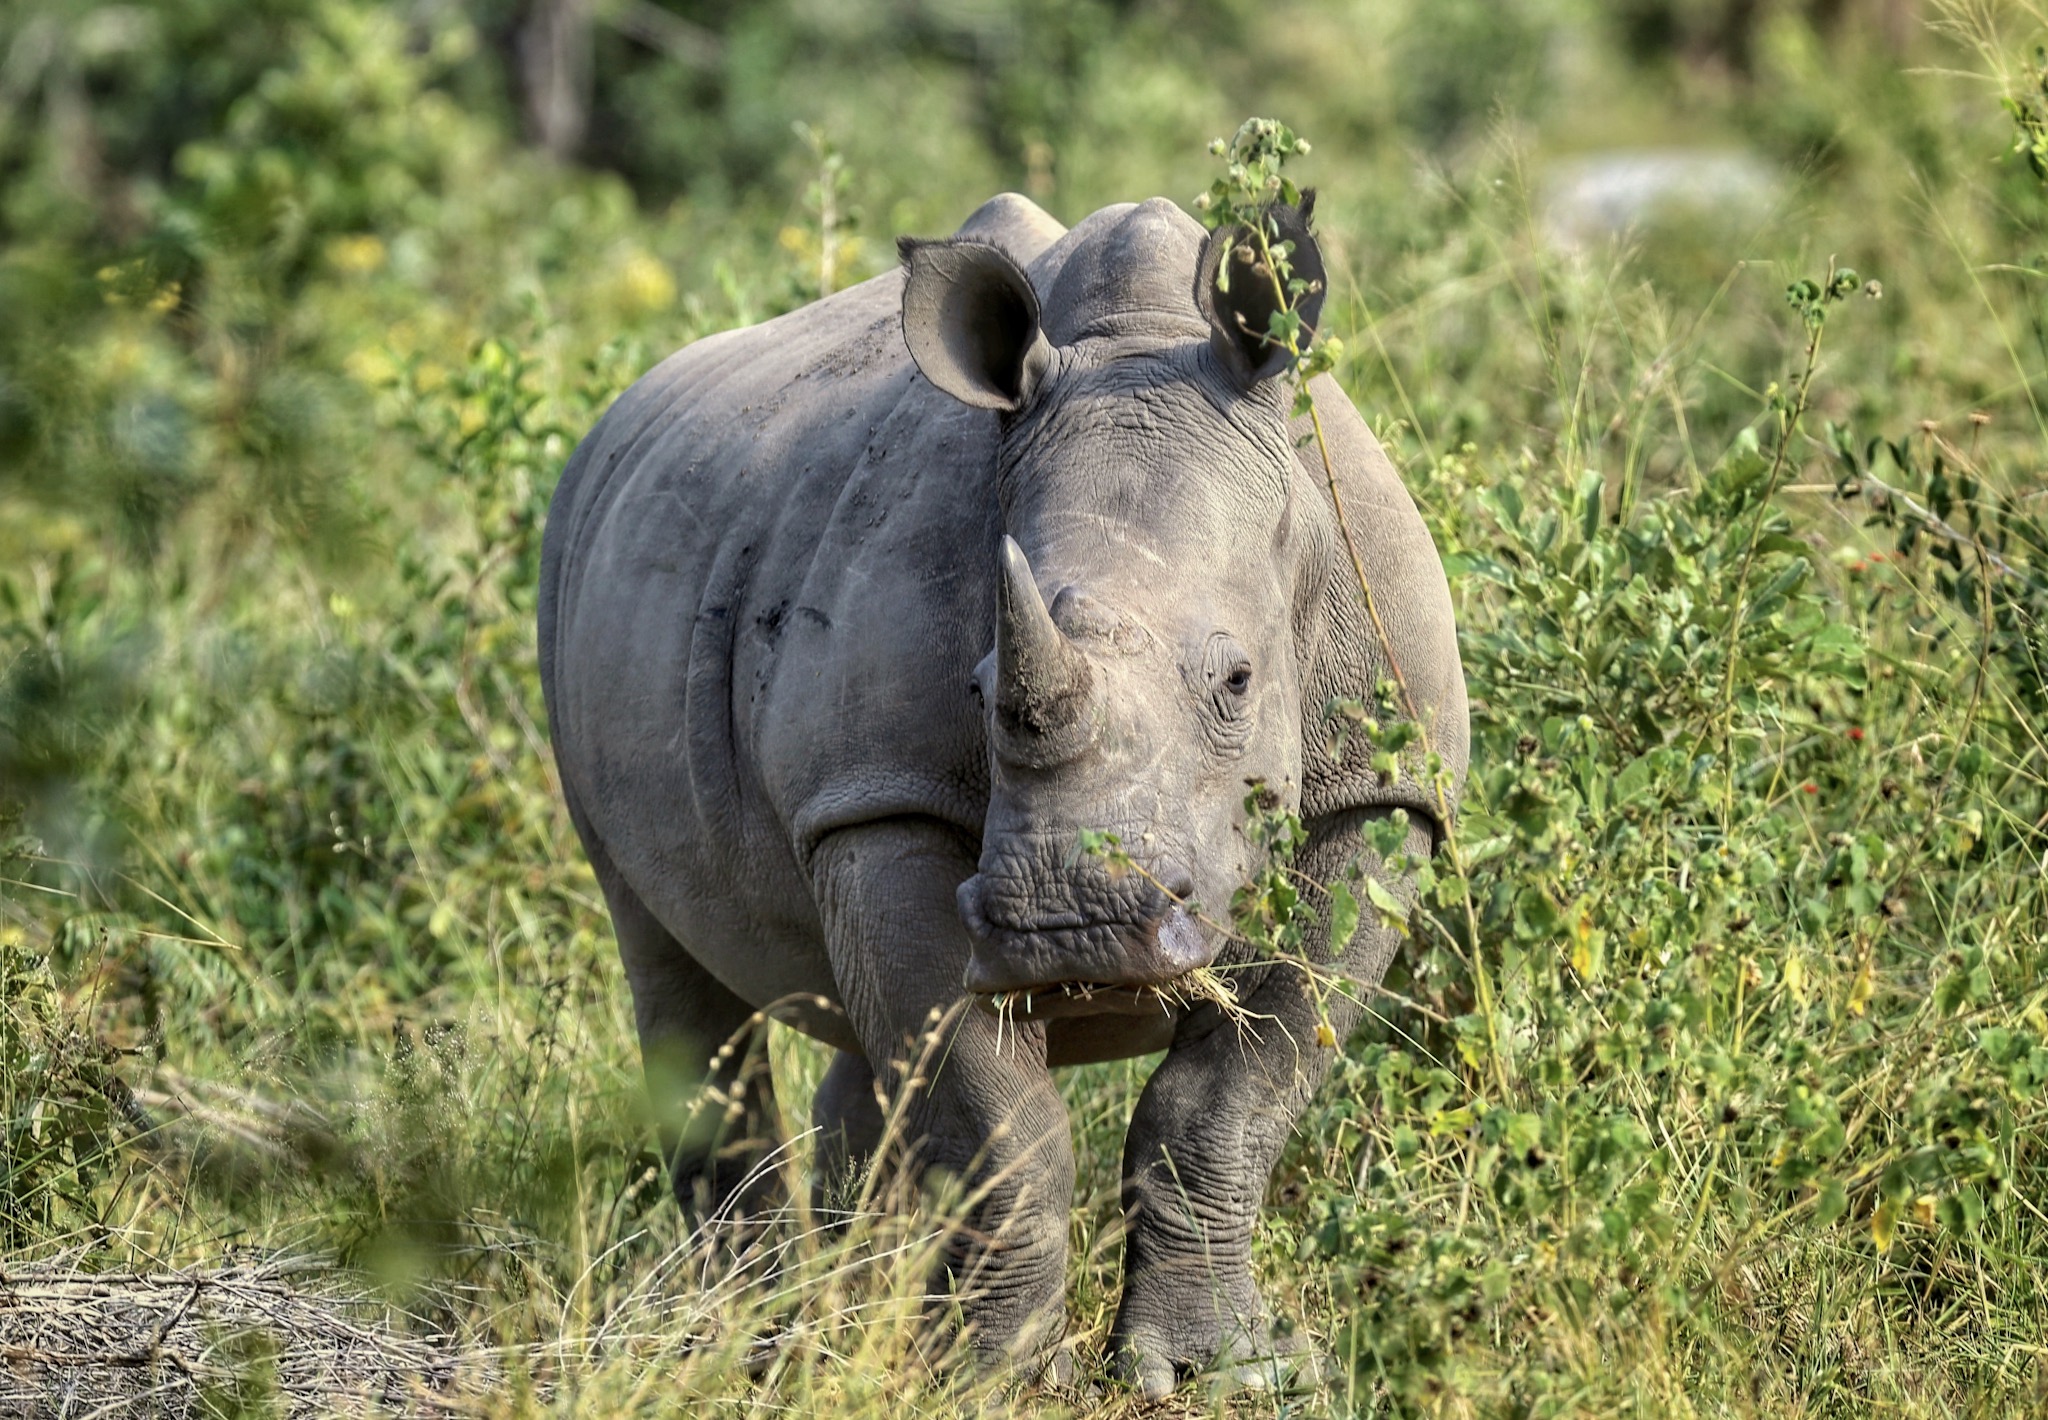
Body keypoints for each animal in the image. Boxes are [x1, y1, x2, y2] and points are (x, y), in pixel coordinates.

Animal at [537, 191, 1467, 1392]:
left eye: (1237, 680)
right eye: (981, 689)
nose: (1073, 925)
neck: (1138, 341)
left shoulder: (1384, 788)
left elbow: (1233, 1093)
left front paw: (1221, 1372)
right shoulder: (878, 800)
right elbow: (997, 1122)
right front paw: (997, 1380)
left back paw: (851, 1320)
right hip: (577, 576)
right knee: (670, 963)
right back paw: (747, 1347)